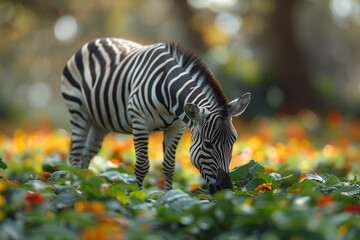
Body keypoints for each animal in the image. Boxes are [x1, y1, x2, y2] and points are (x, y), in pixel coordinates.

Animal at [61, 38, 250, 195]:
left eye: (233, 143)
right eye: (208, 144)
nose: (226, 190)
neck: (168, 89)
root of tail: (95, 41)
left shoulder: (176, 128)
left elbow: (169, 167)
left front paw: (167, 197)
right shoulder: (140, 122)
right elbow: (142, 166)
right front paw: (136, 198)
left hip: (99, 124)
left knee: (86, 155)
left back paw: (84, 187)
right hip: (78, 111)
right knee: (75, 155)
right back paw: (74, 190)